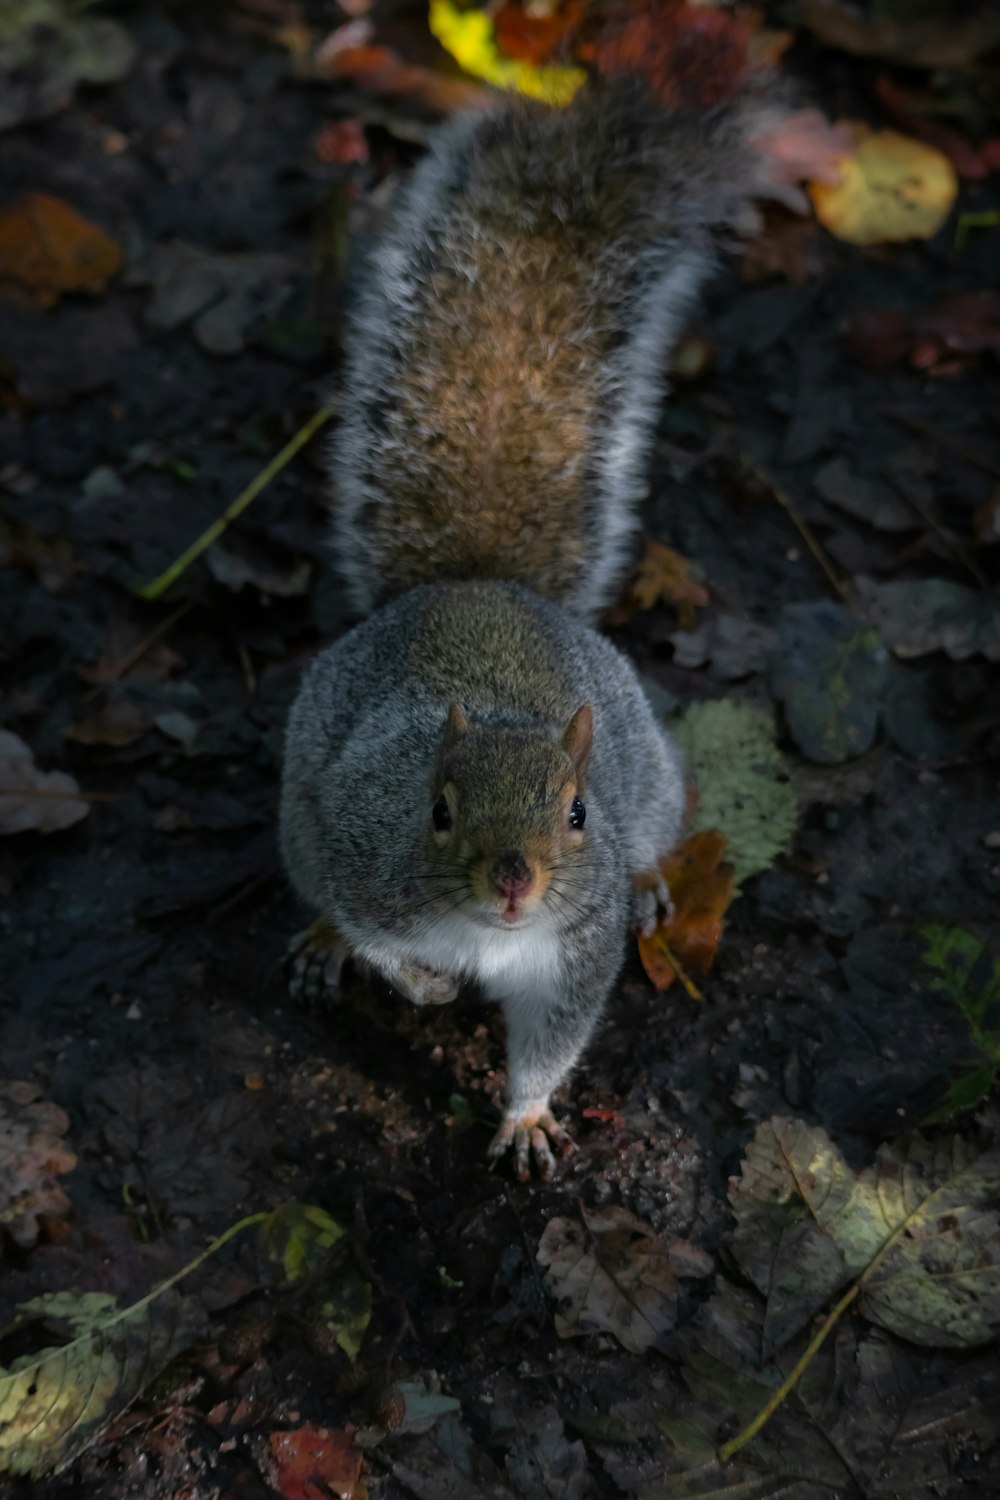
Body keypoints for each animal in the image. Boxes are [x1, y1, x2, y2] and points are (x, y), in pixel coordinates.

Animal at [280, 76, 803, 1176]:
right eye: (435, 809)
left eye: (575, 813)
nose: (515, 883)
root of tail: (477, 583)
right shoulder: (360, 852)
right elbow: (379, 936)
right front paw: (421, 983)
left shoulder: (572, 953)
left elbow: (552, 1039)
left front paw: (523, 1117)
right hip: (300, 812)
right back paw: (320, 946)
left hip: (651, 775)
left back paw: (651, 884)